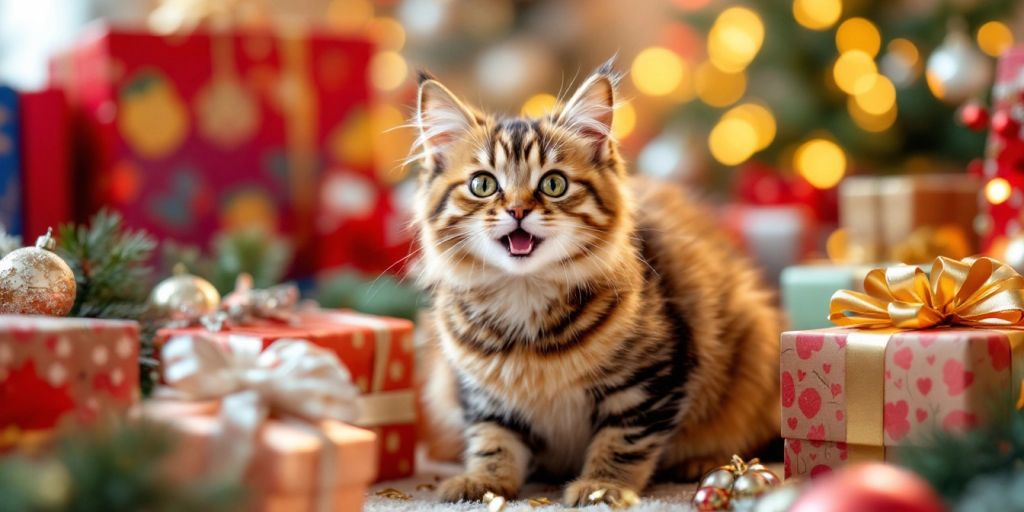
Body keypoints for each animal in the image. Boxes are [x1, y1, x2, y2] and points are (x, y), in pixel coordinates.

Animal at [411, 61, 778, 505]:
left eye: (553, 184)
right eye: (483, 184)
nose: (517, 210)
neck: (525, 301)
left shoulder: (649, 379)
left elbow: (623, 440)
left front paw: (603, 486)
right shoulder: (481, 391)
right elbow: (492, 438)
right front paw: (484, 482)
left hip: (754, 349)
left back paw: (700, 462)